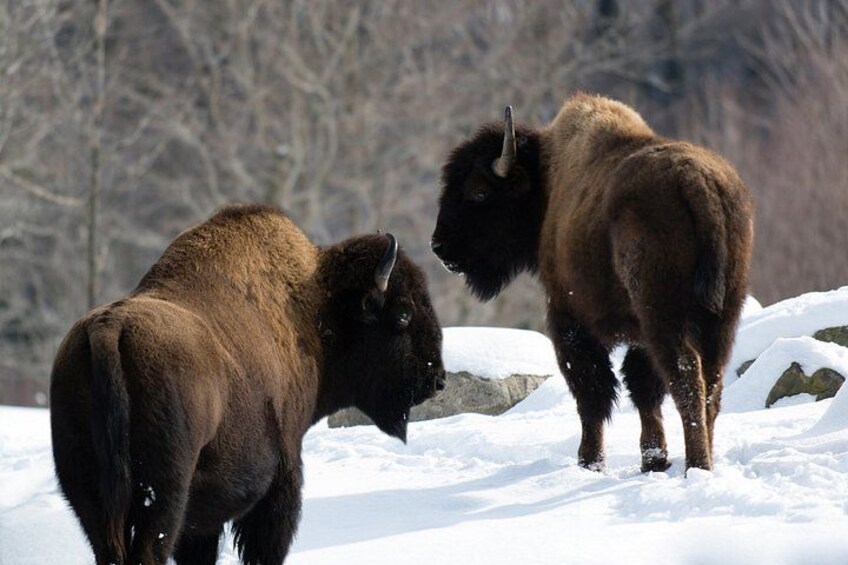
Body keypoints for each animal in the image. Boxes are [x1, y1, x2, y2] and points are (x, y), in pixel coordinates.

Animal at [51, 204, 446, 564]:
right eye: (403, 315)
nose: (437, 378)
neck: (316, 306)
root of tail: (109, 328)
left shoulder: (203, 524)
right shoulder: (283, 476)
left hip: (90, 494)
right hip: (163, 494)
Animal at [432, 94, 753, 473]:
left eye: (480, 193)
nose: (439, 246)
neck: (546, 181)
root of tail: (696, 181)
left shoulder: (568, 317)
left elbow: (592, 391)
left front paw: (589, 461)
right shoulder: (638, 336)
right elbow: (642, 390)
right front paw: (653, 460)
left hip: (664, 315)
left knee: (686, 378)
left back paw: (697, 465)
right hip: (723, 316)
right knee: (710, 385)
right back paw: (705, 462)